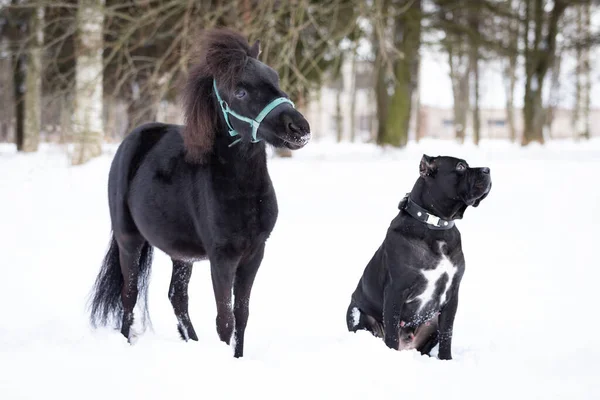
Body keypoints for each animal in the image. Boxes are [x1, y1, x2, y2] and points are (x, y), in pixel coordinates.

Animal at [90, 29, 314, 358]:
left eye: (274, 76)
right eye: (240, 92)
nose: (298, 127)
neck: (243, 189)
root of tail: (136, 137)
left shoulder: (254, 254)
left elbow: (242, 315)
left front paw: (238, 358)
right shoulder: (222, 258)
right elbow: (225, 319)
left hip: (180, 254)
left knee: (177, 297)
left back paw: (192, 343)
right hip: (129, 240)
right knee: (129, 294)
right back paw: (127, 343)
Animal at [346, 155, 492, 360]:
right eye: (461, 167)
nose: (487, 170)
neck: (436, 227)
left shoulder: (452, 295)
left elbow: (447, 334)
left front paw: (446, 360)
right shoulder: (396, 291)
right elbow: (391, 333)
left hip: (433, 322)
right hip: (359, 315)